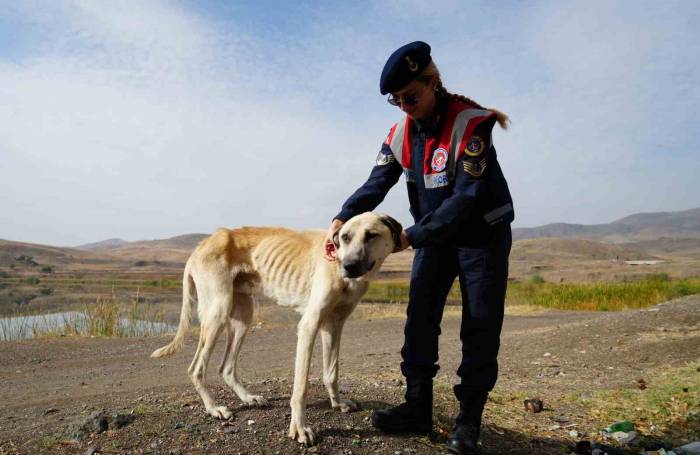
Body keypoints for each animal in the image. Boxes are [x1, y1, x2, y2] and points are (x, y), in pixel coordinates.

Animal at [150, 213, 402, 446]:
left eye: (371, 235)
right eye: (345, 237)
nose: (348, 267)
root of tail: (202, 245)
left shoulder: (334, 325)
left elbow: (331, 372)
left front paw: (338, 404)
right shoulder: (309, 326)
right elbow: (300, 388)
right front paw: (299, 429)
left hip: (243, 317)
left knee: (226, 368)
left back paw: (249, 398)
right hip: (217, 314)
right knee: (196, 369)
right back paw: (214, 408)